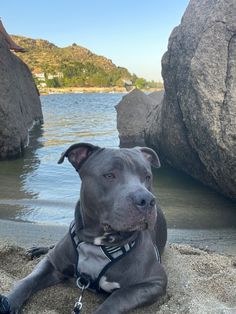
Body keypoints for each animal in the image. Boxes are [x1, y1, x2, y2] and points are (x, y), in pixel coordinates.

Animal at [0, 143, 168, 314]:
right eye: (109, 175)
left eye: (147, 177)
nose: (146, 200)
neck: (98, 242)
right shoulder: (52, 264)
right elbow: (27, 281)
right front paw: (9, 301)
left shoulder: (155, 282)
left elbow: (118, 298)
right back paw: (38, 249)